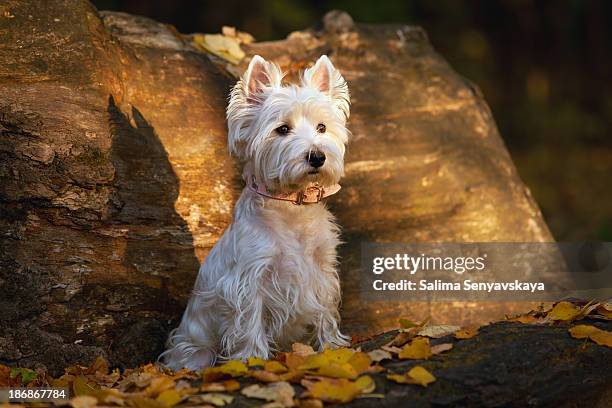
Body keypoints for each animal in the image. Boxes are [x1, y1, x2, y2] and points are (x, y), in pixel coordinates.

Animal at [160, 54, 352, 370]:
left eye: (322, 127)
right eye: (282, 129)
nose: (317, 156)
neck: (292, 206)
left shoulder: (322, 269)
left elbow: (325, 310)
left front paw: (333, 347)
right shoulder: (250, 279)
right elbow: (250, 321)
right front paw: (251, 359)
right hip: (196, 349)